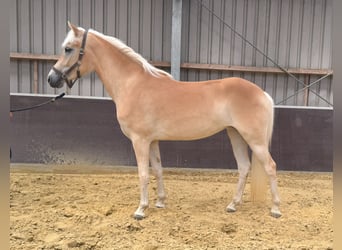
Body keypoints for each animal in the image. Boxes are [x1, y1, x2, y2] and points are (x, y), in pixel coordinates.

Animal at [48, 22, 284, 220]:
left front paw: (141, 209)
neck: (132, 84)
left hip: (254, 139)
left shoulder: (140, 141)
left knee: (270, 166)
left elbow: (143, 173)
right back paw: (233, 205)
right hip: (235, 134)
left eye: (68, 48)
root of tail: (262, 93)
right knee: (244, 167)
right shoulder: (152, 141)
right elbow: (158, 170)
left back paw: (275, 209)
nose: (52, 78)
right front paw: (160, 202)